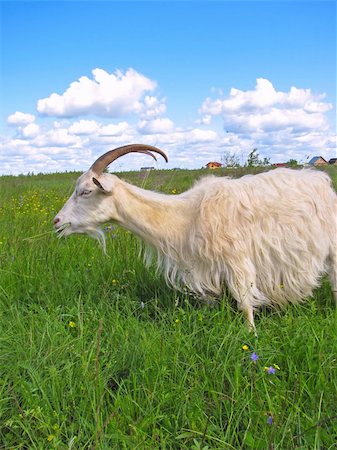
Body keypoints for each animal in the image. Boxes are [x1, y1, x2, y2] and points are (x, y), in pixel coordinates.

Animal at [53, 144, 334, 330]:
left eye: (86, 191)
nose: (57, 222)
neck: (185, 216)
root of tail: (322, 181)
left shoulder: (238, 262)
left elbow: (245, 304)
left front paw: (250, 336)